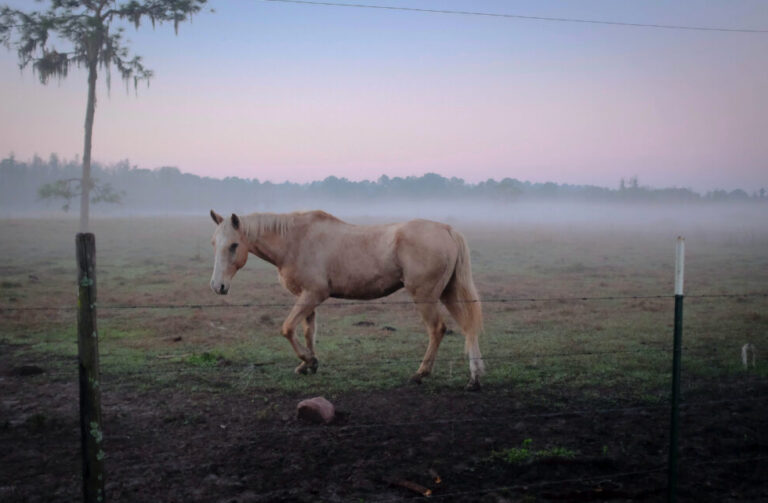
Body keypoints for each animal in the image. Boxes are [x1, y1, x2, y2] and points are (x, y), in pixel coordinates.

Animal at [208, 209, 486, 390]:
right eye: (213, 243)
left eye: (233, 245)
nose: (217, 286)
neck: (295, 241)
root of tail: (447, 230)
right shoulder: (307, 298)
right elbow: (308, 332)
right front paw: (309, 365)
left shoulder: (313, 295)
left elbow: (287, 329)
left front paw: (309, 361)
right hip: (448, 293)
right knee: (468, 328)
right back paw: (474, 378)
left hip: (425, 297)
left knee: (437, 330)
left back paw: (420, 374)